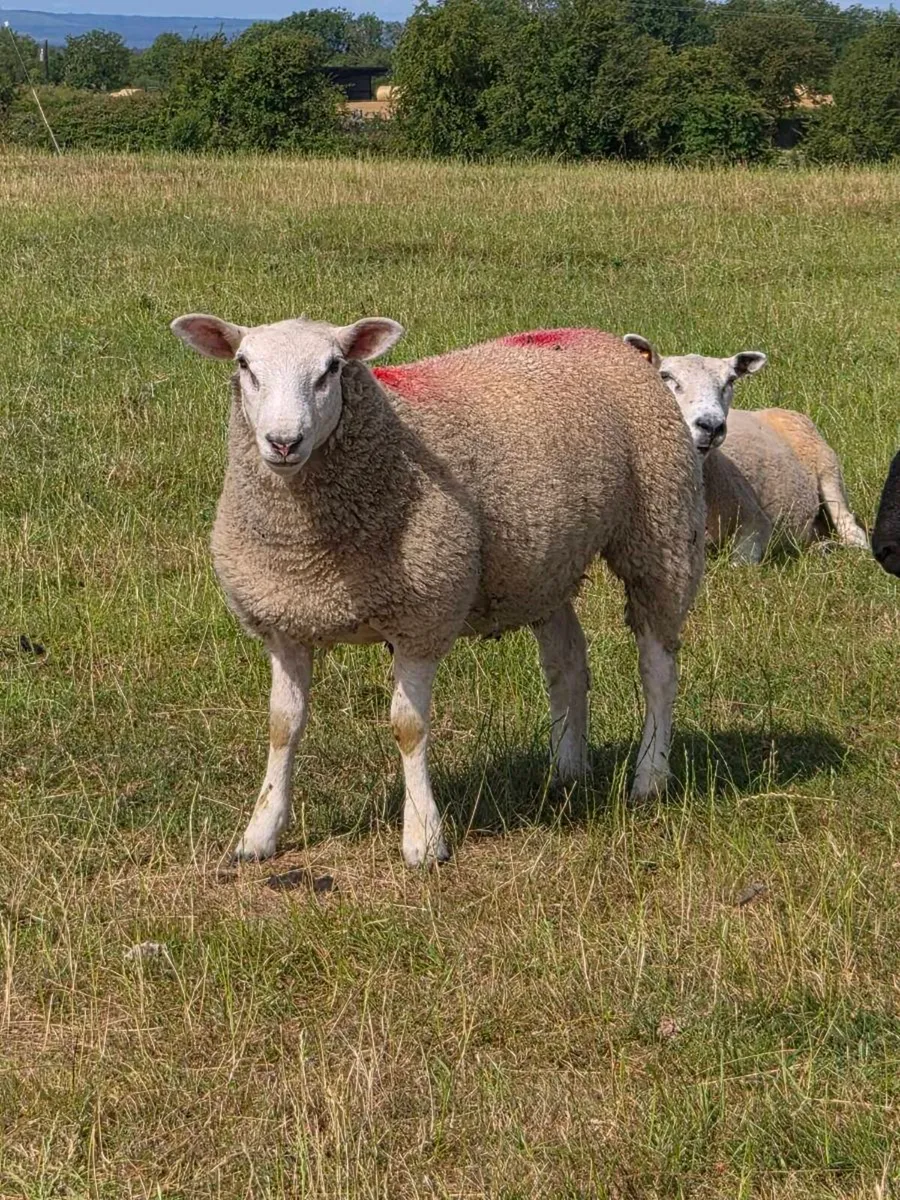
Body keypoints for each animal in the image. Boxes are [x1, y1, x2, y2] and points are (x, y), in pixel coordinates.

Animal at [170, 316, 704, 867]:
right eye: (244, 365)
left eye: (333, 368)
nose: (283, 442)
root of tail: (599, 337)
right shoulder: (284, 623)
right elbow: (282, 725)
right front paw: (260, 832)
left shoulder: (423, 616)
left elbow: (408, 728)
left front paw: (424, 839)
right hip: (544, 563)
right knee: (568, 663)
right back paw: (567, 770)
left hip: (661, 529)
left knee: (658, 671)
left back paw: (649, 777)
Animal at [624, 335, 869, 565]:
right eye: (665, 376)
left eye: (730, 380)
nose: (711, 425)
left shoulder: (757, 520)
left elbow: (740, 565)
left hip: (829, 471)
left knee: (851, 529)